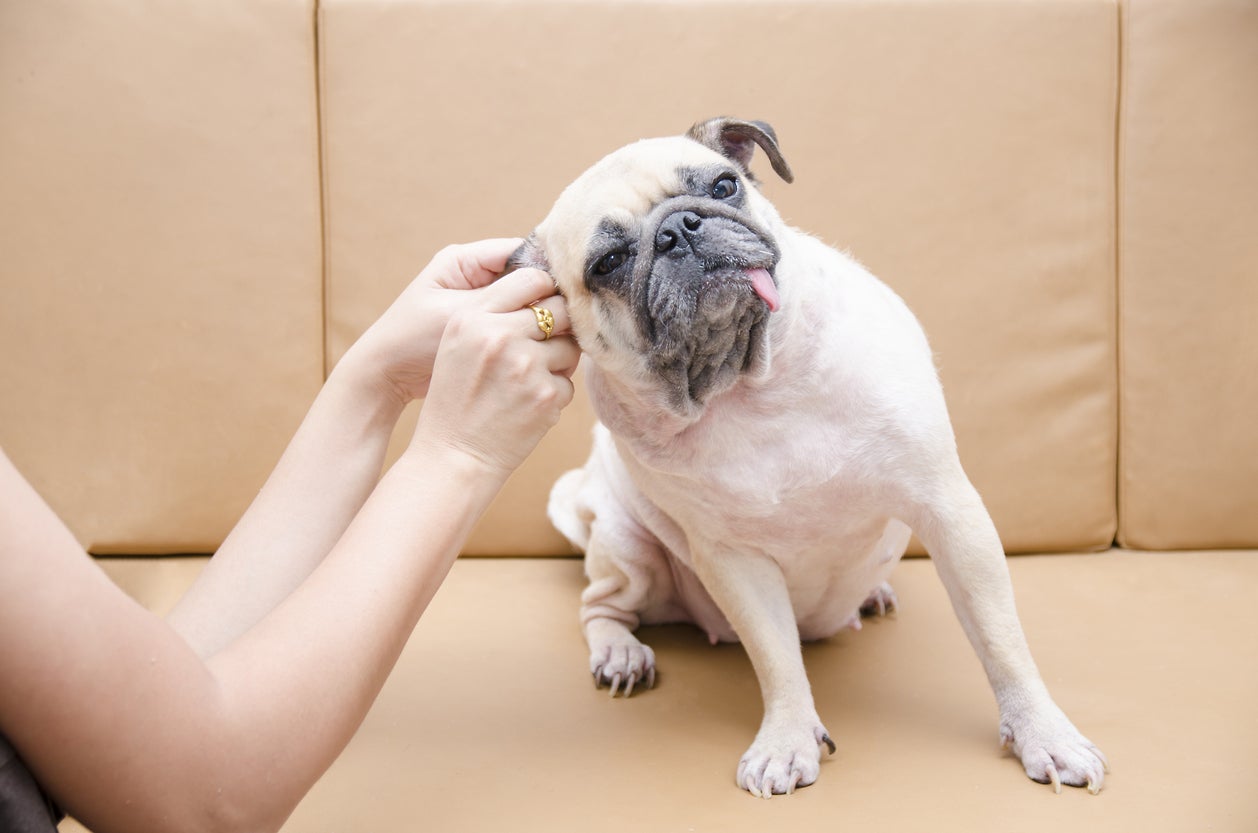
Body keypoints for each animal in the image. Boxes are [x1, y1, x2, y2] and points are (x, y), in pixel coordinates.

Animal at [505, 118, 1107, 805]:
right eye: (608, 264)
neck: (747, 388)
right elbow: (777, 660)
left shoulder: (949, 510)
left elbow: (1002, 641)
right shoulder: (734, 561)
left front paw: (1044, 733)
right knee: (601, 604)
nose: (678, 228)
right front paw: (787, 740)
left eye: (723, 186)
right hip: (628, 547)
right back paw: (620, 653)